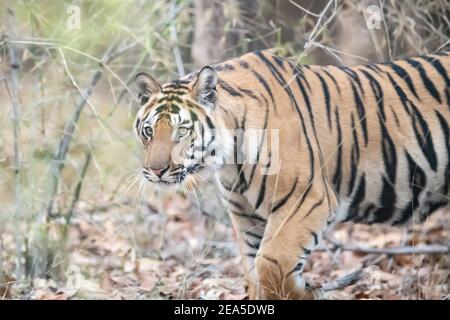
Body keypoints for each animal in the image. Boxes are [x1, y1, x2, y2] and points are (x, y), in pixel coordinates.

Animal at [134, 50, 450, 300]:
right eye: (149, 131)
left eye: (181, 132)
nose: (156, 170)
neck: (230, 158)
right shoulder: (246, 215)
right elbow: (253, 269)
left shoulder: (307, 198)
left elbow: (271, 262)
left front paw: (308, 292)